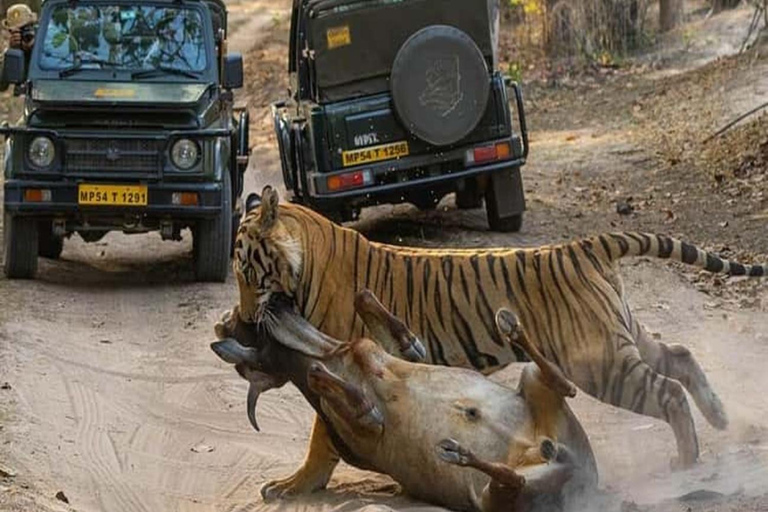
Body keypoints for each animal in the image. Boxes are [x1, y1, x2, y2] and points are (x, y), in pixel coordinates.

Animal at [233, 185, 765, 500]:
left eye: (246, 272)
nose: (239, 318)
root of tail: (584, 245)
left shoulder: (342, 353)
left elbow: (322, 435)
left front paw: (295, 485)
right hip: (622, 337)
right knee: (680, 356)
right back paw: (721, 417)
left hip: (601, 362)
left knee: (667, 390)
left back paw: (688, 461)